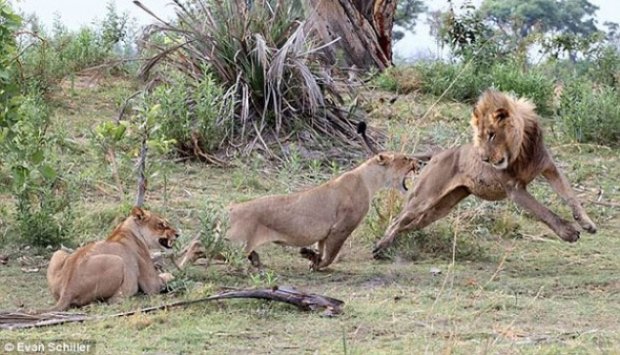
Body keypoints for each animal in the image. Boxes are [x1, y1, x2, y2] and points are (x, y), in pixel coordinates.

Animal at [370, 88, 600, 256]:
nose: (484, 159)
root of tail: (438, 153)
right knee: (398, 219)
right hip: (424, 197)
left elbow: (570, 195)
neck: (521, 150)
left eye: (491, 134)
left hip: (441, 207)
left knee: (411, 224)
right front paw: (568, 232)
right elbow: (542, 211)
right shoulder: (514, 189)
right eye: (479, 136)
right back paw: (380, 246)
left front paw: (587, 223)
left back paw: (389, 244)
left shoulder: (549, 167)